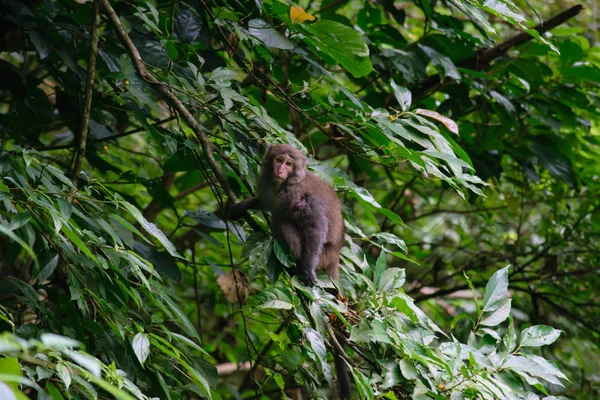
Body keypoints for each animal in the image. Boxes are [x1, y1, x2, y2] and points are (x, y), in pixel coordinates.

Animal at [230, 144, 352, 400]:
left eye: (288, 163)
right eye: (278, 160)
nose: (280, 169)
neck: (283, 184)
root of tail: (336, 254)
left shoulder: (297, 194)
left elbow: (315, 224)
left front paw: (306, 270)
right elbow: (264, 202)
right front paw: (241, 206)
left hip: (322, 255)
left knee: (284, 224)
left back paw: (295, 264)